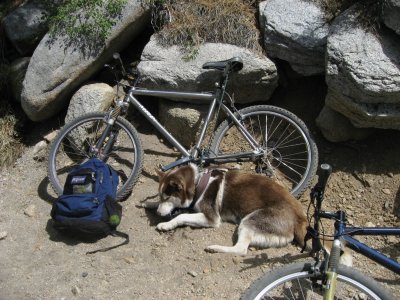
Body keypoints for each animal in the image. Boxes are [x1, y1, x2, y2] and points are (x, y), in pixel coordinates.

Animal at [141, 164, 310, 255]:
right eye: (161, 196)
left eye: (168, 197)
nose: (158, 214)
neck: (198, 183)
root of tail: (300, 218)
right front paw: (149, 203)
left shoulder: (211, 218)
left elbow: (181, 217)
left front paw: (166, 224)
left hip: (251, 219)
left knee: (240, 249)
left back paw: (214, 248)